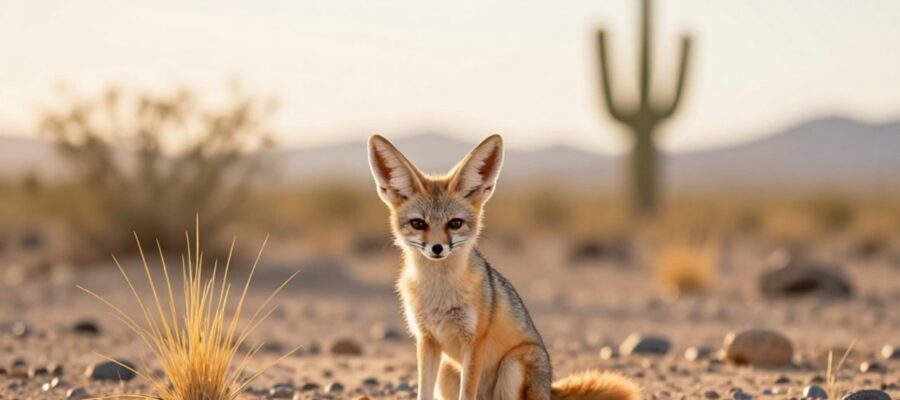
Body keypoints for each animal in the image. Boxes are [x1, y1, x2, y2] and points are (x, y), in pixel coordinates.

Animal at [367, 133, 641, 400]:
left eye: (455, 224)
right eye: (418, 224)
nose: (437, 248)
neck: (439, 293)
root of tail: (549, 388)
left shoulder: (474, 340)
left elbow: (466, 394)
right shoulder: (427, 340)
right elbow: (423, 392)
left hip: (512, 364)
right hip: (447, 371)